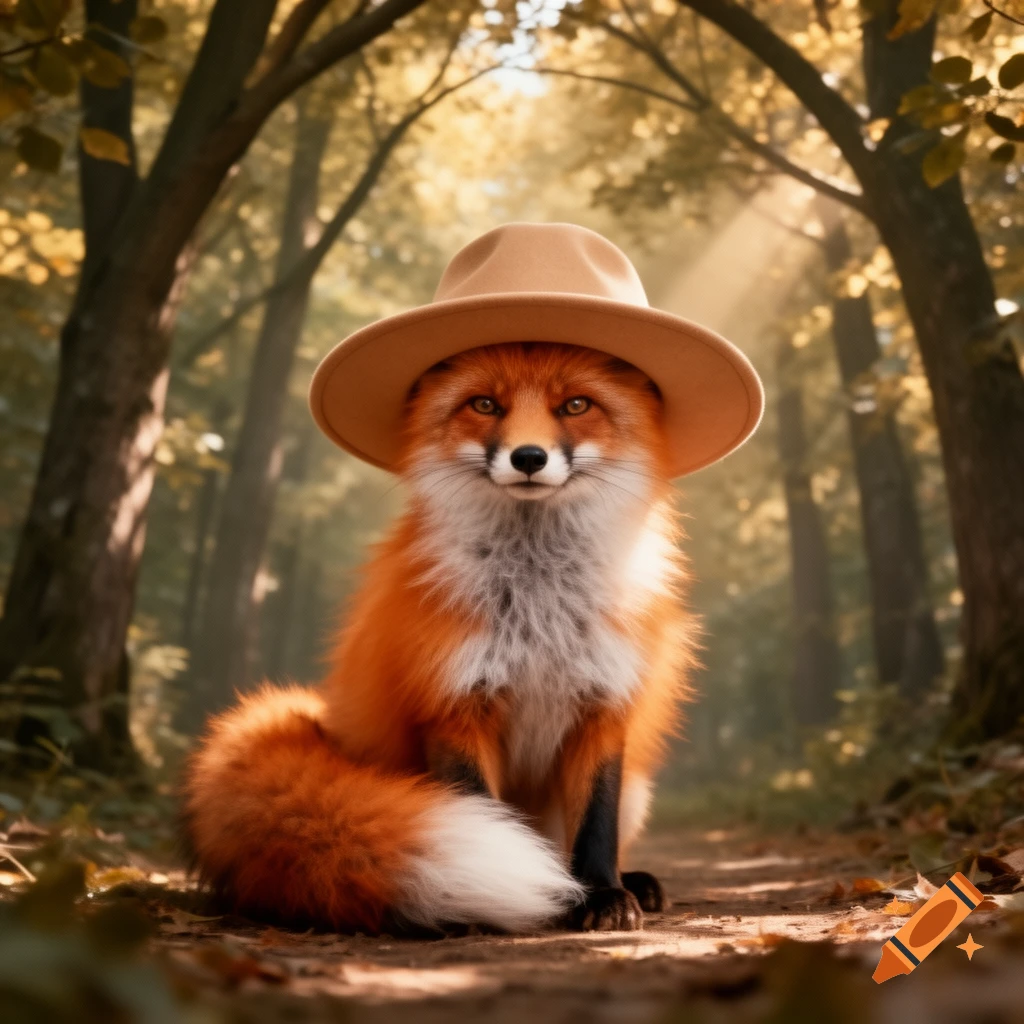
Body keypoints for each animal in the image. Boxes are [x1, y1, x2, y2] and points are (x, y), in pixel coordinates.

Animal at [182, 341, 696, 935]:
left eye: (575, 405)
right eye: (485, 404)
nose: (528, 457)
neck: (537, 607)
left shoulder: (603, 707)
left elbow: (596, 823)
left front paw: (603, 893)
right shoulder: (454, 706)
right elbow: (481, 807)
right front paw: (498, 895)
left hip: (637, 791)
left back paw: (631, 881)